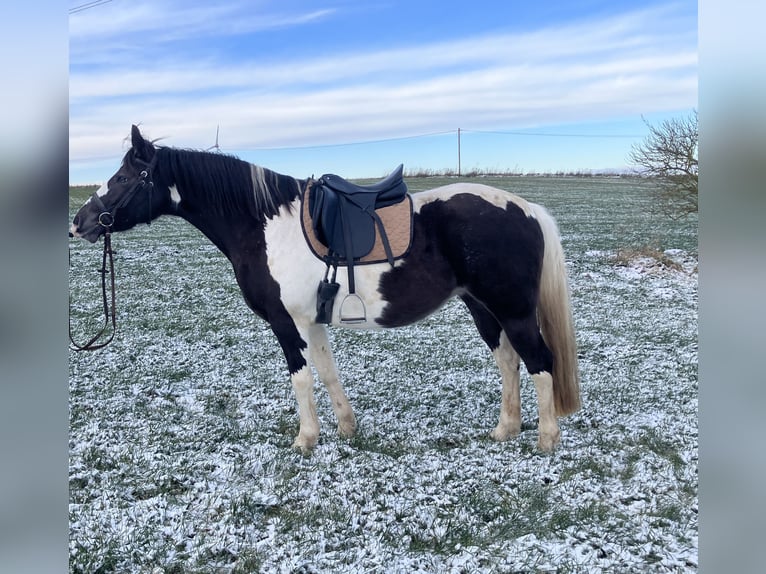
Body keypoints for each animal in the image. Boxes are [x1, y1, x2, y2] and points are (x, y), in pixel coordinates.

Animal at [70, 125, 580, 453]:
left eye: (124, 178)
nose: (80, 222)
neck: (263, 225)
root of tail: (527, 209)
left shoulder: (286, 323)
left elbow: (300, 377)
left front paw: (306, 440)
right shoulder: (311, 321)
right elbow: (328, 371)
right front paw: (347, 429)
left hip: (512, 310)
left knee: (539, 361)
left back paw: (546, 440)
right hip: (482, 308)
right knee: (509, 361)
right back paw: (505, 430)